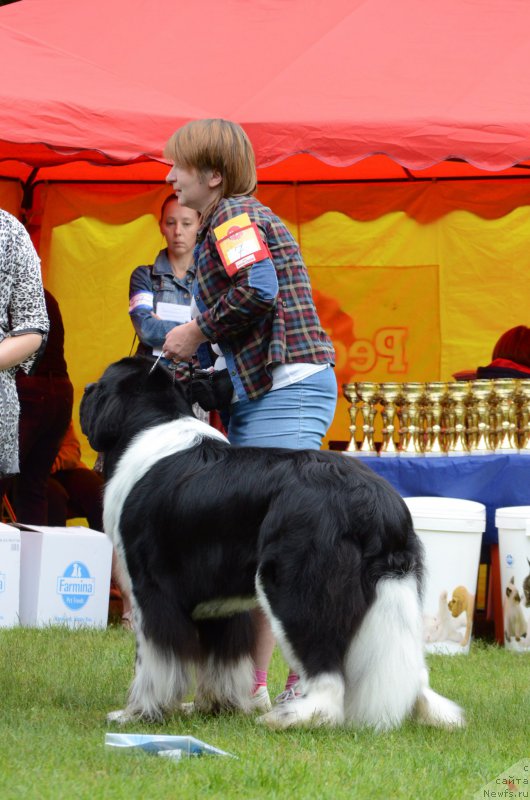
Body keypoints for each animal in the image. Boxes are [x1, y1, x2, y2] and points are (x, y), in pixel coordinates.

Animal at [78, 356, 462, 732]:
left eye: (100, 382)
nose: (85, 387)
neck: (155, 420)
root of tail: (372, 500)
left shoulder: (151, 589)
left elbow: (154, 660)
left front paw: (139, 714)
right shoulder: (219, 600)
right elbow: (224, 660)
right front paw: (216, 707)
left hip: (293, 586)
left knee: (326, 675)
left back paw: (294, 717)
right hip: (393, 592)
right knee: (408, 665)